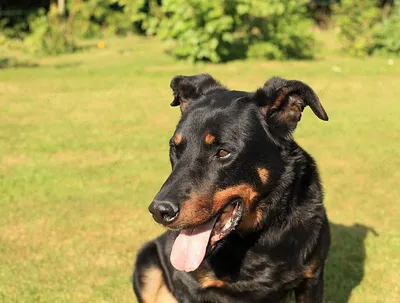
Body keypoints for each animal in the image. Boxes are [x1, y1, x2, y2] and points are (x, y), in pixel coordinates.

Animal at [133, 74, 330, 303]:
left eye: (223, 152)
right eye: (175, 147)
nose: (159, 211)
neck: (255, 236)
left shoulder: (312, 279)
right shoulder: (189, 286)